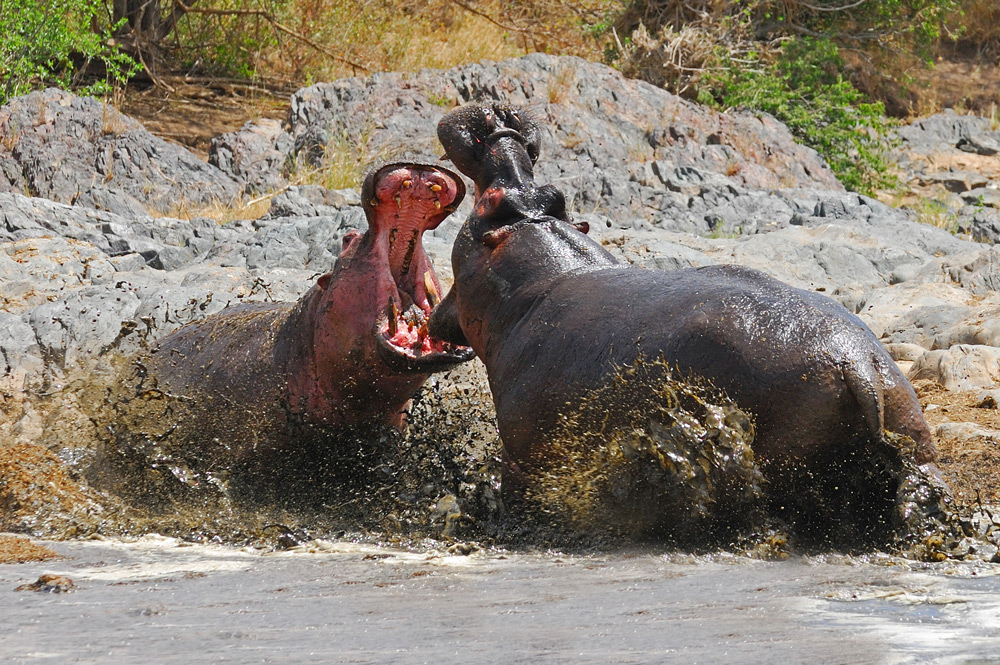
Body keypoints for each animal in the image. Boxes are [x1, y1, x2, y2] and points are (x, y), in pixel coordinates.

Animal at [428, 104, 944, 544]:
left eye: (489, 203)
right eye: (556, 195)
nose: (500, 119)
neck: (543, 271)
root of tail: (857, 363)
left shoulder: (522, 457)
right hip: (912, 429)